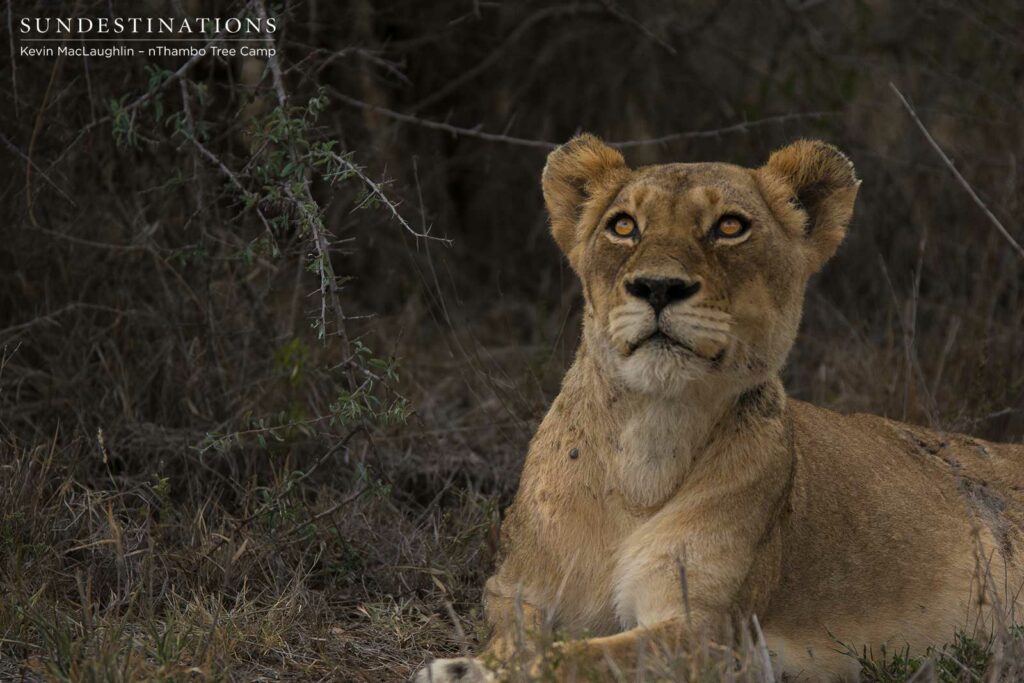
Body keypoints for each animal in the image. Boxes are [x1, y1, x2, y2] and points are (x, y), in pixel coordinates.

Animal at [415, 135, 1024, 681]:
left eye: (730, 227)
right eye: (623, 226)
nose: (658, 287)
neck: (649, 445)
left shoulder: (710, 632)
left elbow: (588, 658)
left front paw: (466, 670)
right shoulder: (517, 592)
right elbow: (521, 635)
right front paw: (475, 662)